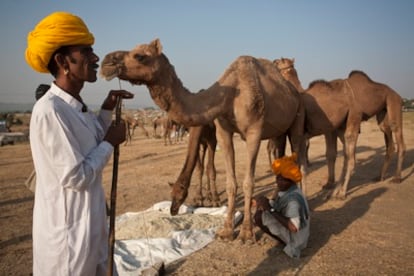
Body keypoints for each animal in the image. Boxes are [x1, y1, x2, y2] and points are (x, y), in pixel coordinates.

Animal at [100, 38, 308, 242]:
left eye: (140, 56)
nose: (106, 62)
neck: (231, 94)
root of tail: (294, 91)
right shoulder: (223, 131)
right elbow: (230, 183)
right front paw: (226, 231)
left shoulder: (254, 132)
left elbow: (248, 182)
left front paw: (246, 233)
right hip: (279, 131)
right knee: (280, 154)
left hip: (298, 118)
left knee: (299, 157)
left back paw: (302, 201)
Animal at [276, 59, 406, 199]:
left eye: (280, 63)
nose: (273, 61)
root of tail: (397, 94)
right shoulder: (327, 130)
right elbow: (329, 155)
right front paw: (328, 184)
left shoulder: (312, 134)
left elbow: (304, 166)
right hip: (379, 115)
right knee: (386, 141)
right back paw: (377, 177)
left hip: (390, 104)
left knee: (396, 136)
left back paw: (396, 178)